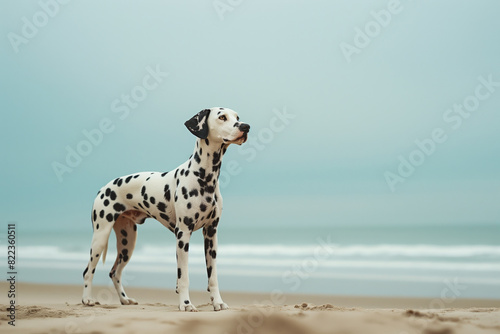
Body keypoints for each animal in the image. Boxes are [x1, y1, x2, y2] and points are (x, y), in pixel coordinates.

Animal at [82, 108, 252, 312]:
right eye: (222, 117)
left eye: (237, 117)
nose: (246, 127)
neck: (204, 177)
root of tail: (103, 188)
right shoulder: (183, 234)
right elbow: (183, 276)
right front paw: (186, 304)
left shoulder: (211, 234)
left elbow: (213, 277)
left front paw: (217, 302)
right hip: (100, 237)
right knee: (88, 271)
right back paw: (87, 299)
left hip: (127, 242)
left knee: (114, 272)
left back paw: (125, 300)